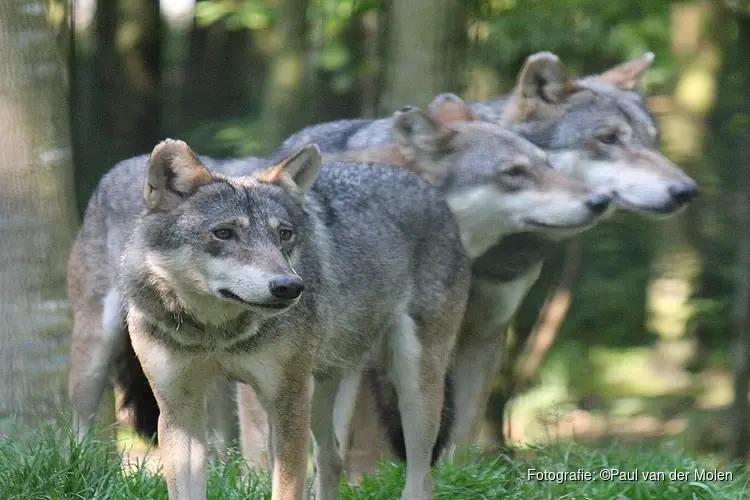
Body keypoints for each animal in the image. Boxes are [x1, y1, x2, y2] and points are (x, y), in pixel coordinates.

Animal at [67, 137, 473, 500]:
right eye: (224, 233)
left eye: (285, 234)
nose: (290, 287)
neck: (215, 332)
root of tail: (431, 191)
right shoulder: (179, 410)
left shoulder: (286, 402)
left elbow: (284, 488)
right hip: (93, 365)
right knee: (332, 460)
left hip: (410, 388)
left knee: (420, 479)